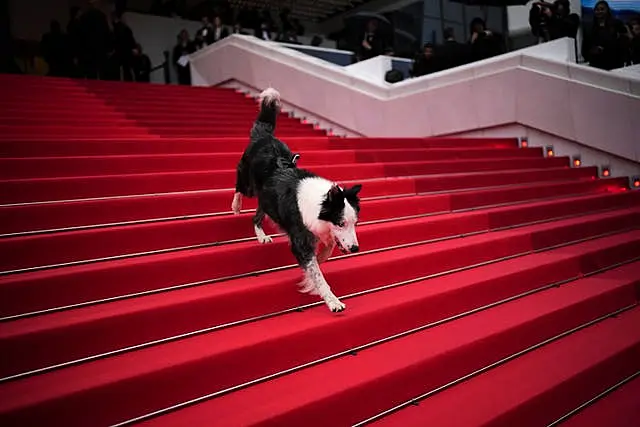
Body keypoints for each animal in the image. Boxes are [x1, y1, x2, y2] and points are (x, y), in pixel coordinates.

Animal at [231, 88, 362, 312]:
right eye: (341, 223)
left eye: (355, 223)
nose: (355, 249)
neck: (319, 202)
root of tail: (265, 136)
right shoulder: (300, 237)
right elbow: (316, 272)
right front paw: (332, 300)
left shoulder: (316, 230)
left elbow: (326, 251)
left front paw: (314, 266)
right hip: (248, 181)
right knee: (239, 187)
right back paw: (236, 206)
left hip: (267, 201)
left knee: (256, 217)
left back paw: (261, 236)